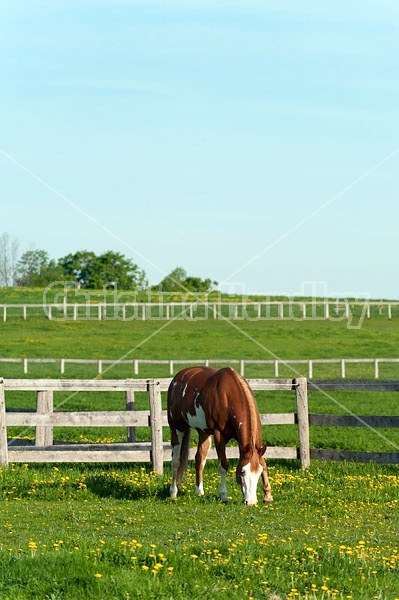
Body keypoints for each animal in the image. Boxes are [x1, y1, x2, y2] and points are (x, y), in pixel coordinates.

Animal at [167, 368, 274, 504]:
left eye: (259, 473)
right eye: (243, 472)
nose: (251, 502)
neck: (228, 397)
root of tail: (177, 378)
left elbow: (263, 462)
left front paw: (267, 495)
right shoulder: (219, 436)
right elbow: (223, 466)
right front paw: (224, 495)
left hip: (204, 433)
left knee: (199, 459)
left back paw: (199, 492)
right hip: (177, 429)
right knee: (175, 461)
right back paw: (173, 492)